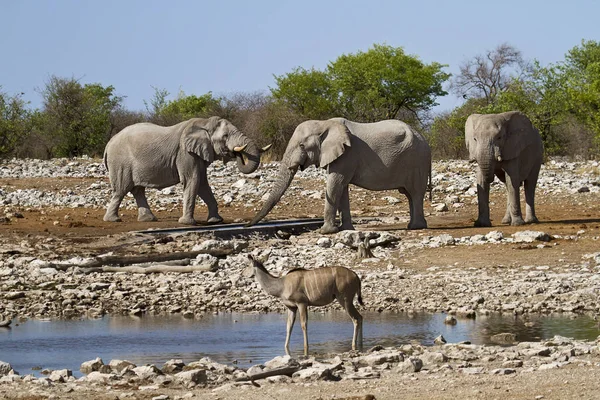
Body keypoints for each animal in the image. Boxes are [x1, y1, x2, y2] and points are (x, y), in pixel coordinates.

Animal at [103, 116, 270, 225]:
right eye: (225, 136)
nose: (237, 153)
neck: (204, 123)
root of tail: (109, 143)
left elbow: (202, 184)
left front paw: (216, 221)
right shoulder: (185, 153)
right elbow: (193, 180)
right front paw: (187, 223)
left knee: (137, 190)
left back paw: (148, 219)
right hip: (120, 162)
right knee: (121, 189)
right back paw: (113, 220)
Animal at [248, 117, 432, 233]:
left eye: (301, 145)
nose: (247, 225)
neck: (324, 123)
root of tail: (424, 138)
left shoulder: (347, 155)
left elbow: (335, 184)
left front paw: (325, 232)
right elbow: (342, 188)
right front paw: (346, 230)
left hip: (417, 161)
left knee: (415, 193)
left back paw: (416, 227)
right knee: (409, 194)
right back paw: (413, 225)